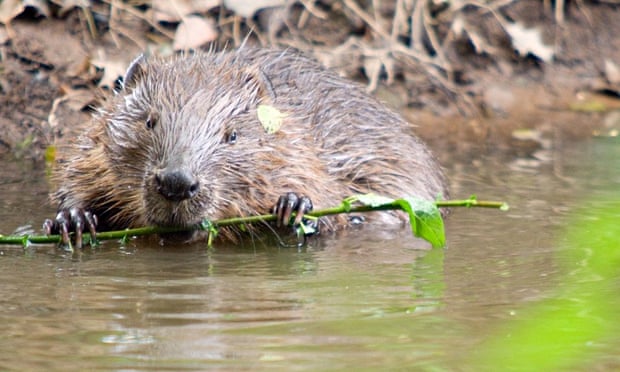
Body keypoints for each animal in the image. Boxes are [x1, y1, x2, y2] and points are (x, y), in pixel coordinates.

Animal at [44, 47, 450, 247]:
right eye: (149, 121)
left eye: (232, 135)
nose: (176, 183)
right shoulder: (93, 145)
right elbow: (77, 175)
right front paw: (72, 220)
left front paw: (293, 207)